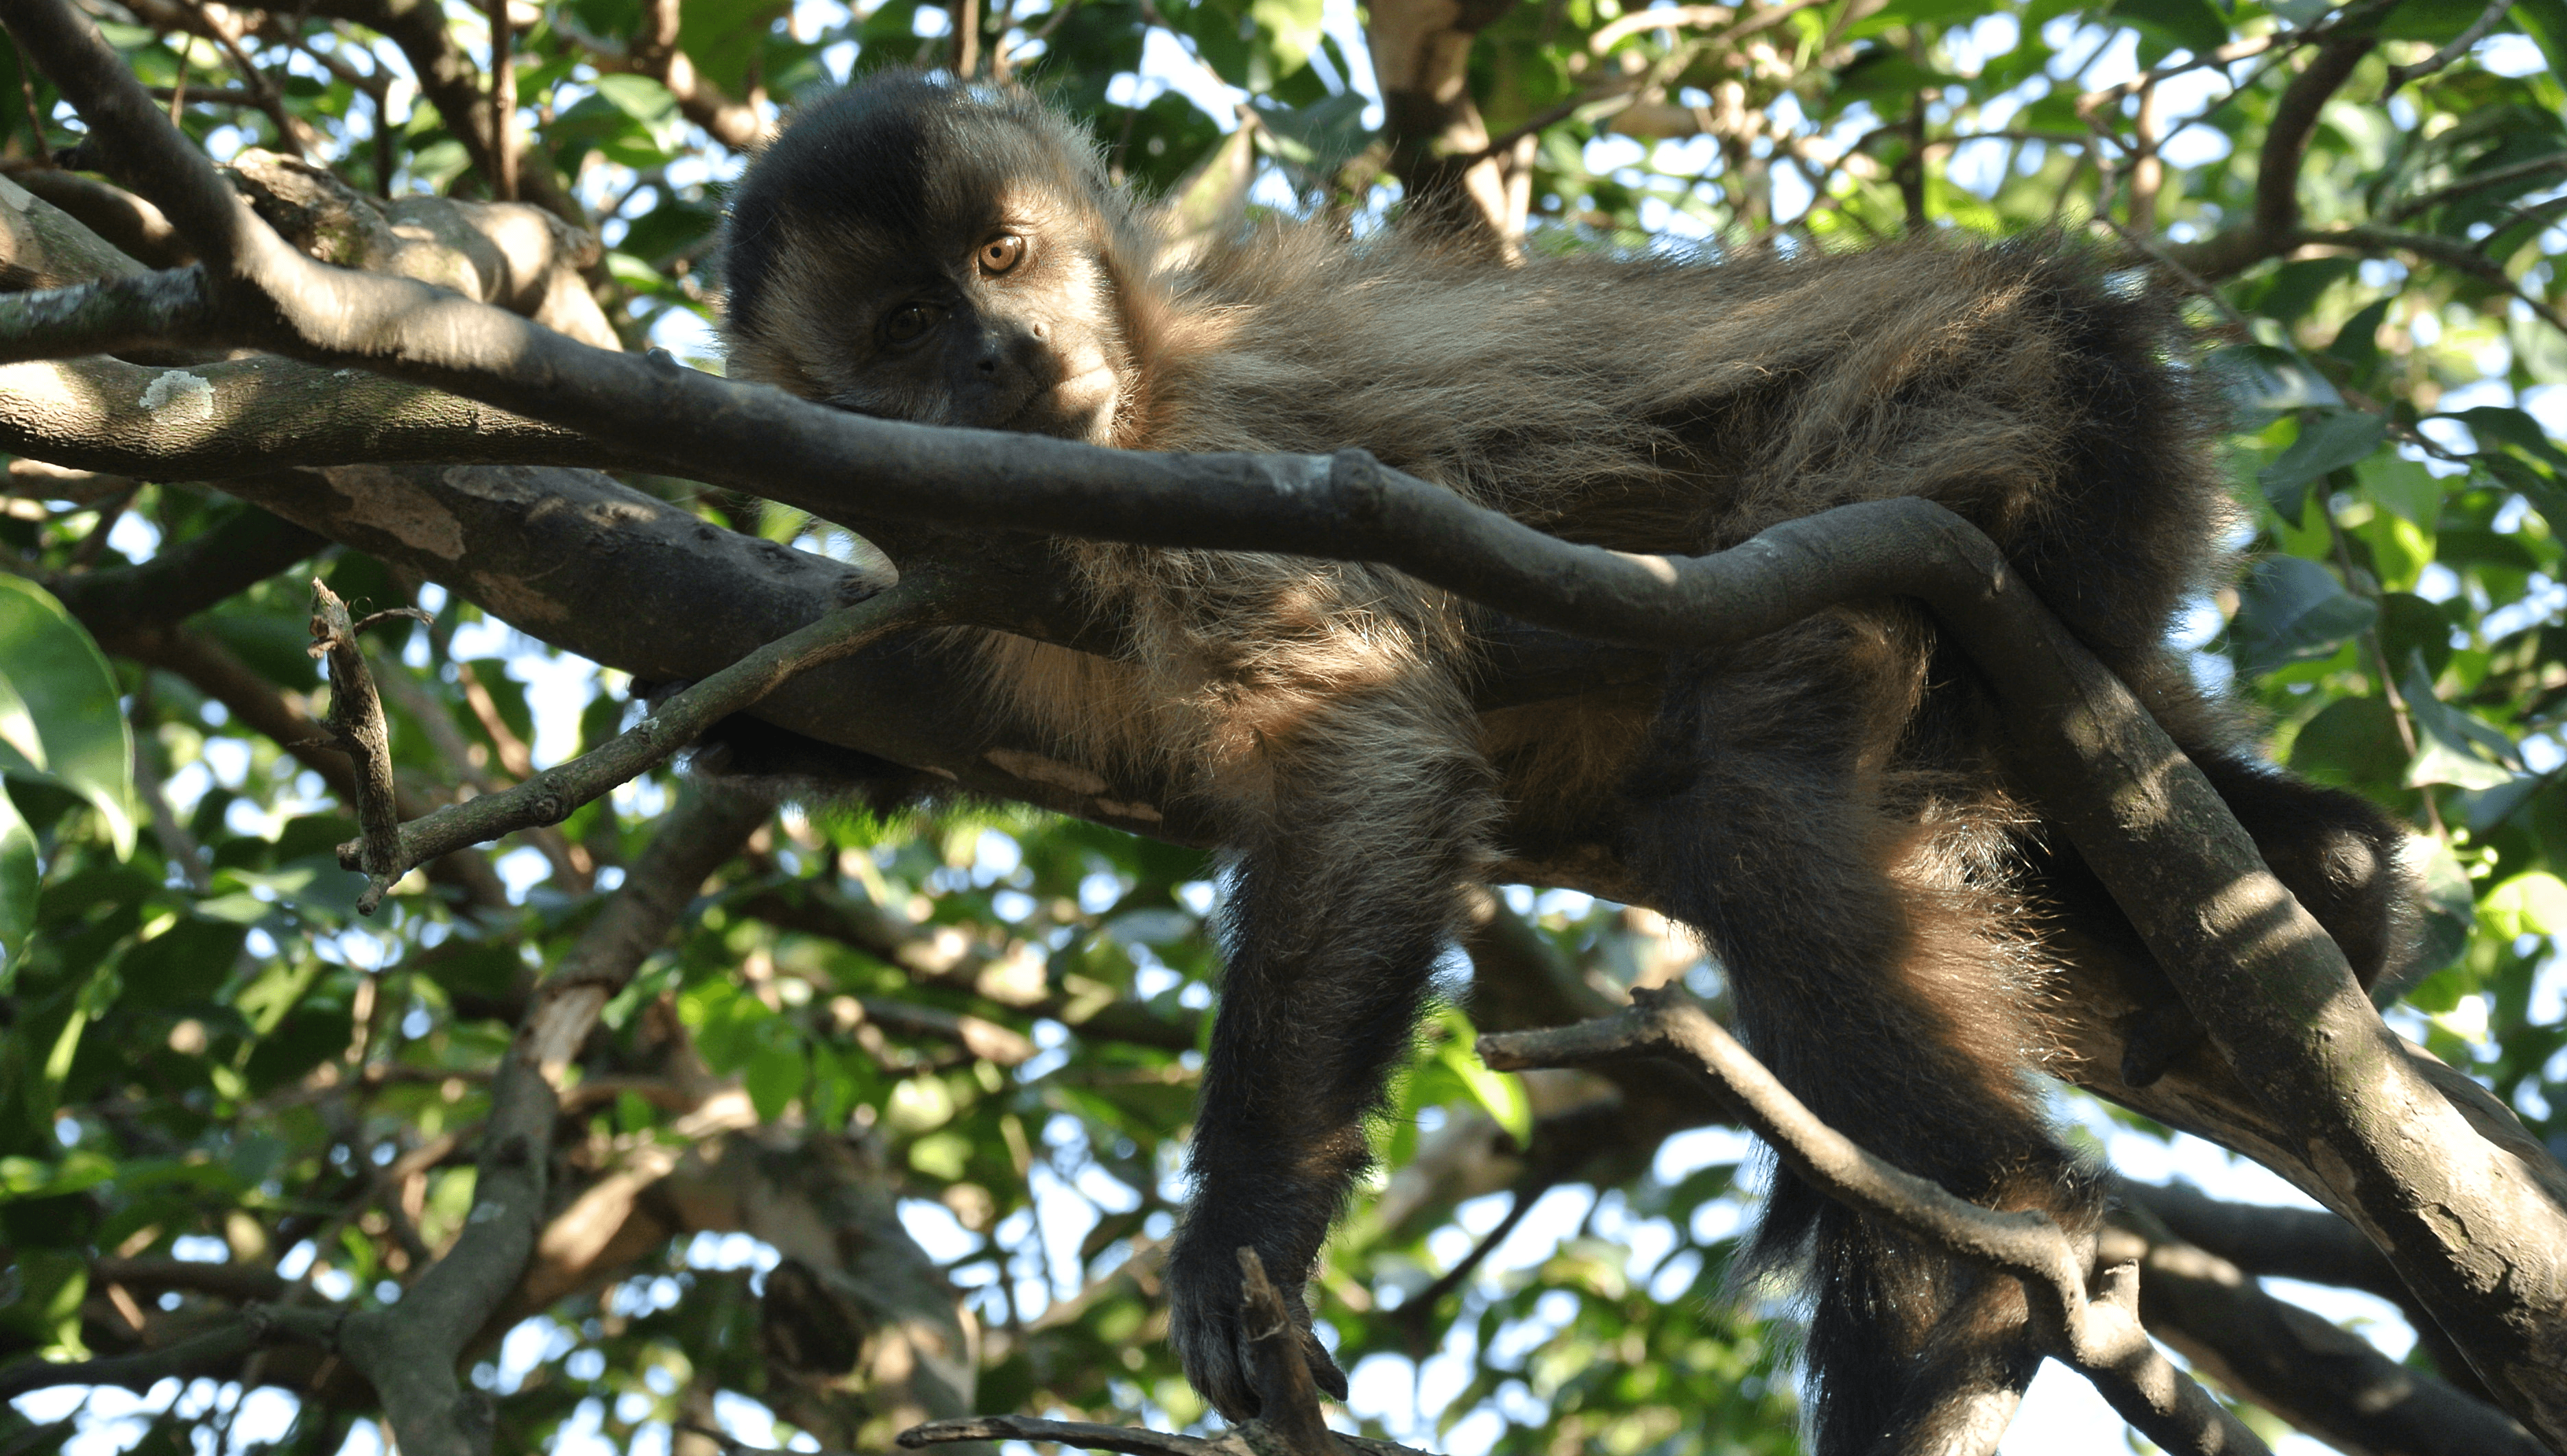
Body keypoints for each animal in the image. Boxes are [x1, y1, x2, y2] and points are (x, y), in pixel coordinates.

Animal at [713, 72, 2415, 1450]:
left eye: (1004, 260)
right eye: (908, 327)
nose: (1008, 351)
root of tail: (2063, 292)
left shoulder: (1204, 466)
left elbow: (1368, 761)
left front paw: (1245, 1230)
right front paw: (757, 711)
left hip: (1982, 399)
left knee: (1744, 786)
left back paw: (1988, 1247)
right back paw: (2322, 875)